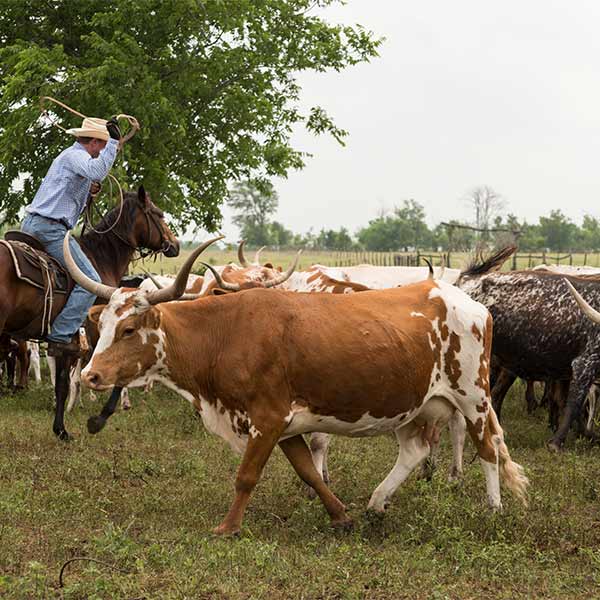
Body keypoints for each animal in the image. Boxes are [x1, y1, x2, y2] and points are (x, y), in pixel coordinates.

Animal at [0, 185, 178, 438]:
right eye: (158, 214)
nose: (175, 244)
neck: (101, 260)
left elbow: (63, 383)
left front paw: (61, 428)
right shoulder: (97, 332)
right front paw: (87, 422)